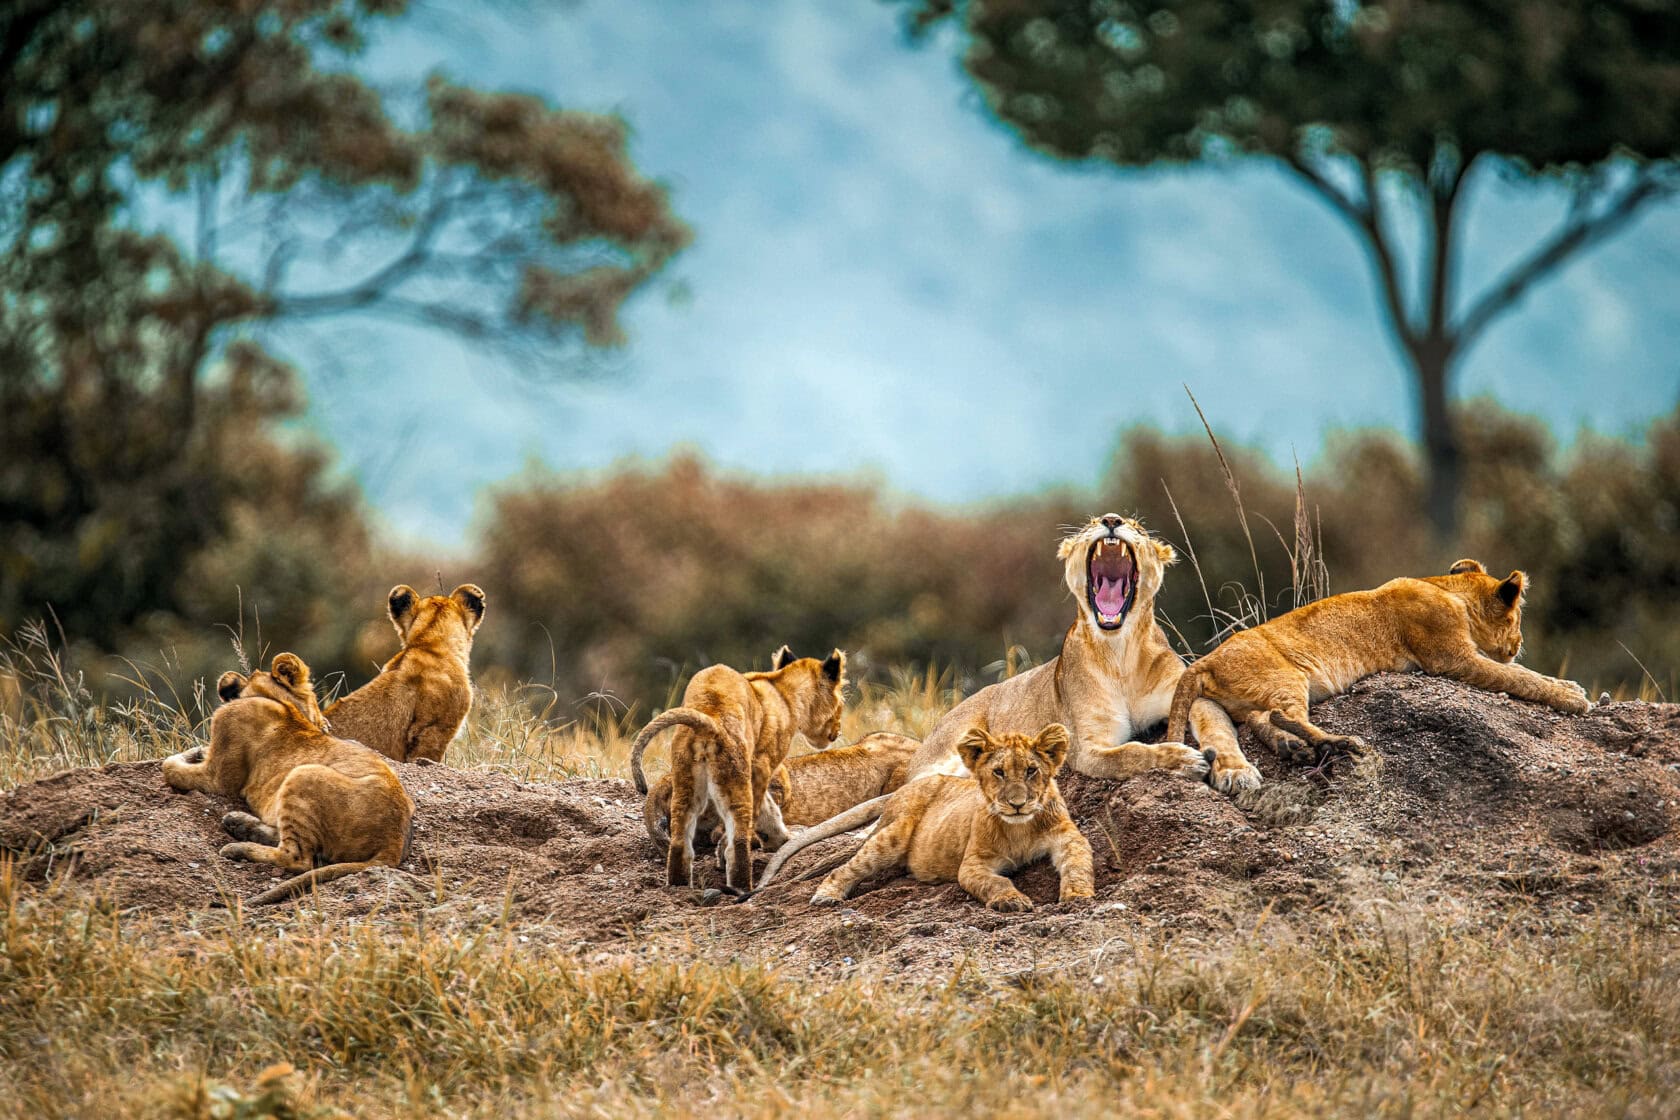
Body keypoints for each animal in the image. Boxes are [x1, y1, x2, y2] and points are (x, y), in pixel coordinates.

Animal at [162, 652, 415, 906]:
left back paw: (238, 847)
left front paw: (192, 753)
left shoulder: (217, 776)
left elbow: (169, 767)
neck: (283, 702)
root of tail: (393, 843)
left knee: (298, 859)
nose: (327, 726)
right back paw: (240, 823)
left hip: (303, 774)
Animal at [633, 646, 846, 893]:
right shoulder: (762, 765)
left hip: (686, 784)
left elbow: (767, 808)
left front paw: (780, 839)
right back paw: (743, 887)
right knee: (737, 841)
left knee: (679, 842)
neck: (784, 691)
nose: (838, 731)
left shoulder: (757, 768)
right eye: (841, 702)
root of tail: (709, 719)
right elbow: (761, 808)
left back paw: (679, 887)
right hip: (734, 778)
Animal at [809, 723, 1093, 912]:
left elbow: (1078, 865)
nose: (1017, 805)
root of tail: (902, 790)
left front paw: (1078, 895)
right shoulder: (973, 864)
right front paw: (1011, 901)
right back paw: (826, 895)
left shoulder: (1069, 839)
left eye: (1031, 770)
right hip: (894, 835)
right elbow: (997, 882)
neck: (1020, 827)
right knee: (848, 867)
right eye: (999, 772)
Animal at [1166, 558, 1591, 763]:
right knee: (1282, 714)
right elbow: (1516, 677)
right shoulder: (1451, 659)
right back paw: (1340, 742)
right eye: (1518, 619)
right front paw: (1572, 699)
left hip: (1257, 695)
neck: (1449, 591)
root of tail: (1203, 661)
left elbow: (1520, 671)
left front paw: (1568, 685)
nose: (1519, 642)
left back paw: (1293, 749)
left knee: (1261, 718)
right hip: (1286, 676)